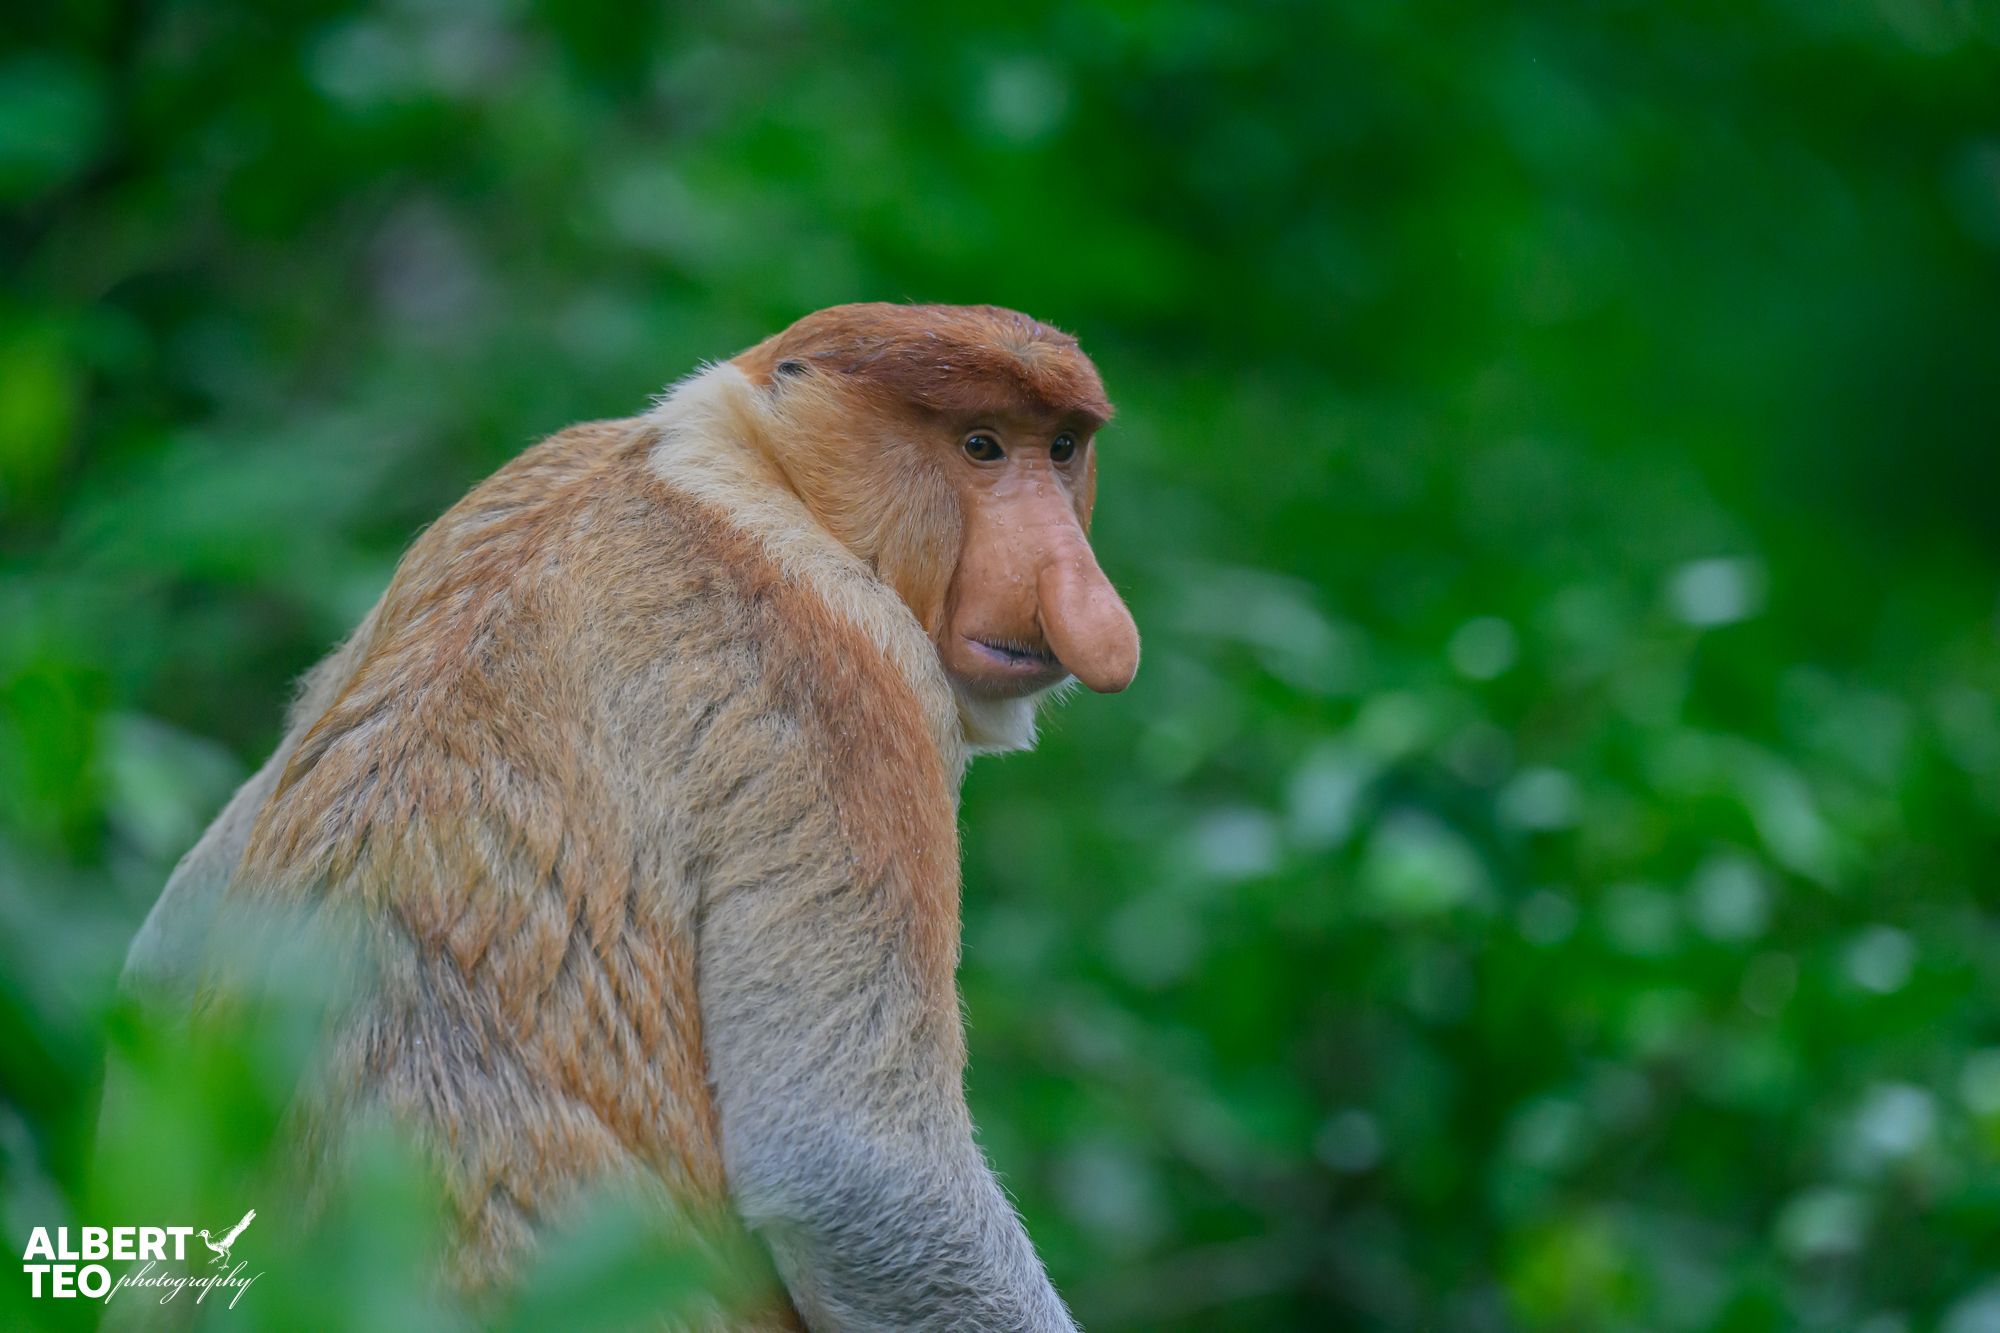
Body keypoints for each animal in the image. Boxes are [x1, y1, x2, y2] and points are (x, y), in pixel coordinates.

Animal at [118, 303, 1140, 1331]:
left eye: (1061, 448)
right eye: (981, 445)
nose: (1081, 597)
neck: (745, 474)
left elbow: (167, 948)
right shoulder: (852, 681)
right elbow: (855, 1170)